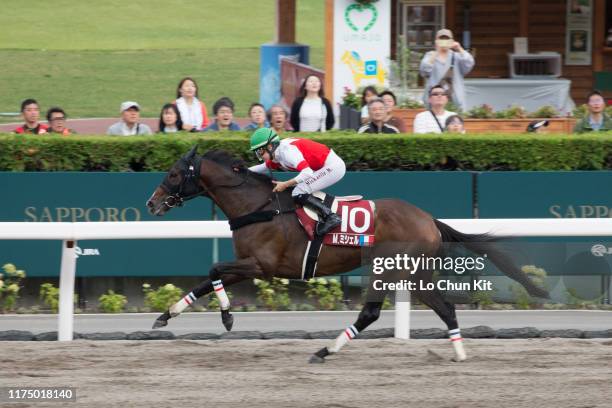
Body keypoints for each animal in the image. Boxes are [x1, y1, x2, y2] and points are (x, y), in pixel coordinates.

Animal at [146, 147, 548, 364]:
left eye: (174, 173)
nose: (151, 204)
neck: (258, 206)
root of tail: (428, 218)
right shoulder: (247, 266)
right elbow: (207, 278)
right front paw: (165, 316)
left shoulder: (262, 265)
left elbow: (213, 268)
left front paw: (228, 317)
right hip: (414, 274)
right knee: (445, 307)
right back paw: (460, 353)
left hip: (390, 269)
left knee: (371, 312)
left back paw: (326, 350)